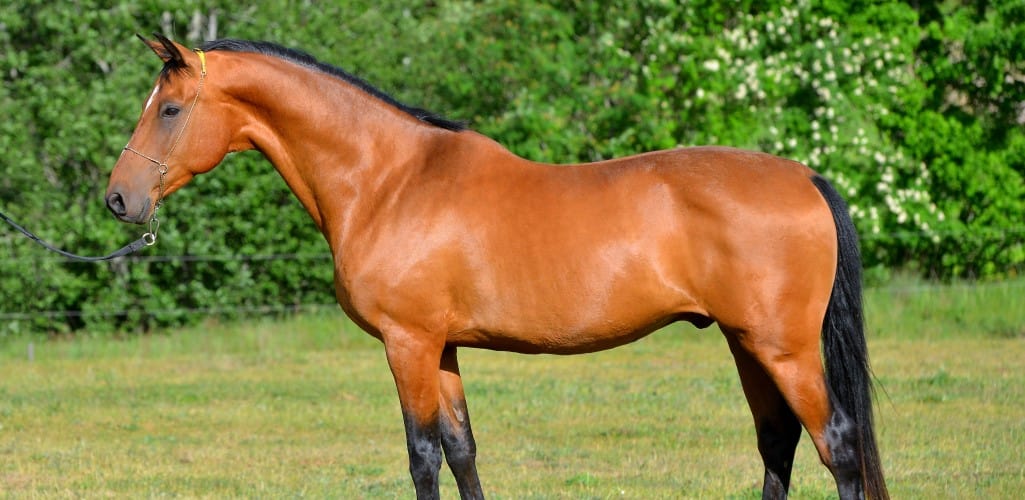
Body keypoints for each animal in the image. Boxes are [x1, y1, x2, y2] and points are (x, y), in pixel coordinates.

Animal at [105, 34, 888, 499]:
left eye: (169, 109)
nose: (118, 198)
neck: (389, 181)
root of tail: (804, 176)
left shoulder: (409, 344)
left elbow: (422, 454)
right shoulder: (442, 347)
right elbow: (462, 449)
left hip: (782, 349)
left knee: (838, 443)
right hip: (746, 344)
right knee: (778, 441)